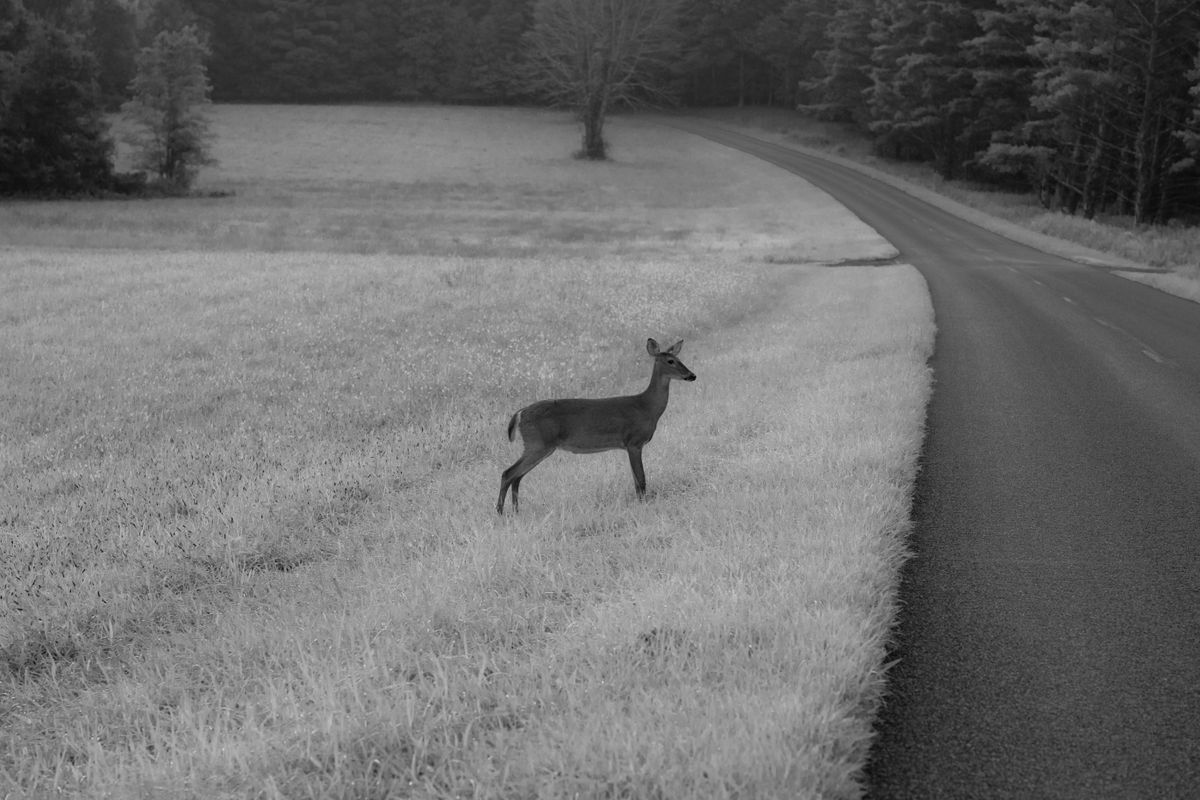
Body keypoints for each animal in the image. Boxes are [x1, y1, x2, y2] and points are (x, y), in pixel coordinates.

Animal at [494, 335, 700, 513]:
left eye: (678, 358)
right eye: (670, 361)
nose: (692, 375)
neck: (646, 407)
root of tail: (520, 413)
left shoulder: (630, 445)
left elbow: (636, 480)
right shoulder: (633, 442)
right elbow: (641, 479)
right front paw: (643, 505)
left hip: (538, 445)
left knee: (517, 477)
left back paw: (515, 511)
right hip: (538, 443)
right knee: (508, 473)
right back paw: (500, 512)